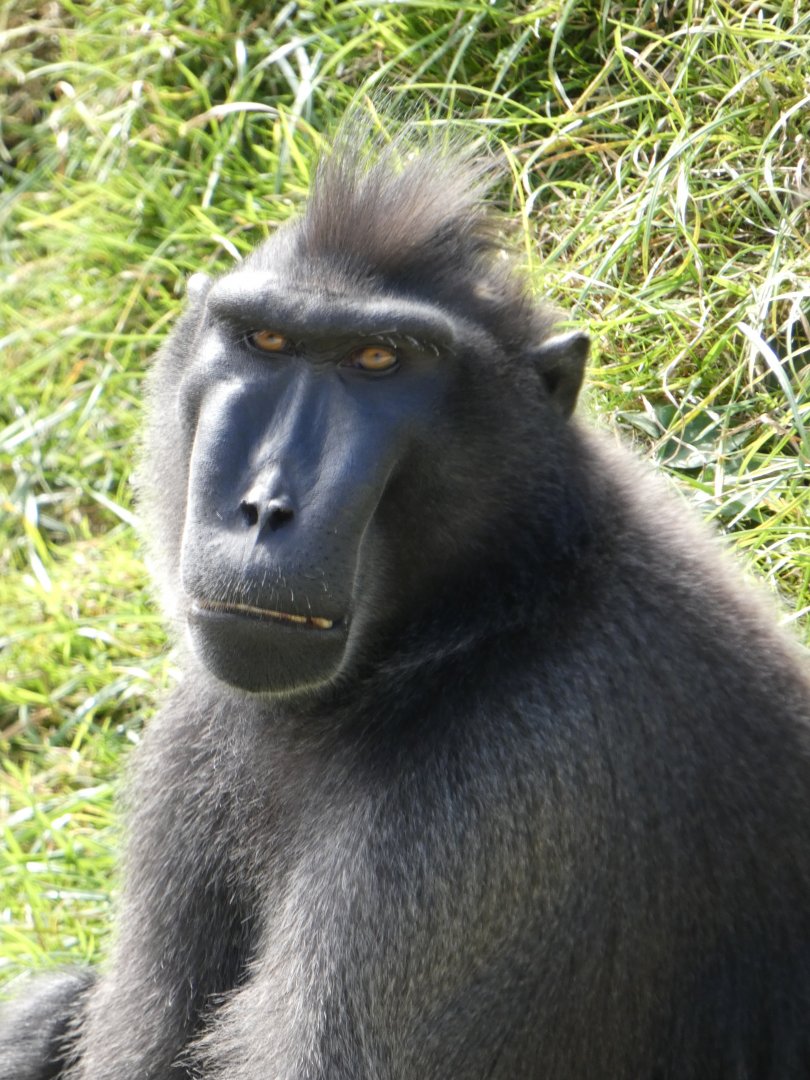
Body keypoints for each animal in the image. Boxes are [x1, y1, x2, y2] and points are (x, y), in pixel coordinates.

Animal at [2, 135, 810, 1080]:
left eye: (380, 362)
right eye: (265, 340)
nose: (265, 507)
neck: (492, 610)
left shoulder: (496, 823)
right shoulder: (193, 740)